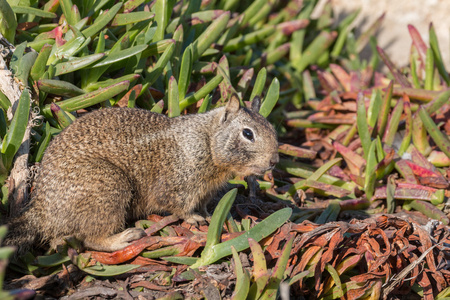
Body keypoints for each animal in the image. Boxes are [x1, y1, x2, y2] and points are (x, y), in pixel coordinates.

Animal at [3, 94, 278, 253]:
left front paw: (208, 214)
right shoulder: (179, 183)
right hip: (109, 187)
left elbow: (203, 204)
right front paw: (193, 219)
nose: (274, 161)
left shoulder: (205, 190)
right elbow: (179, 205)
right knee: (91, 239)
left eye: (271, 127)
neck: (207, 141)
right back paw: (125, 238)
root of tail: (42, 213)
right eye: (248, 133)